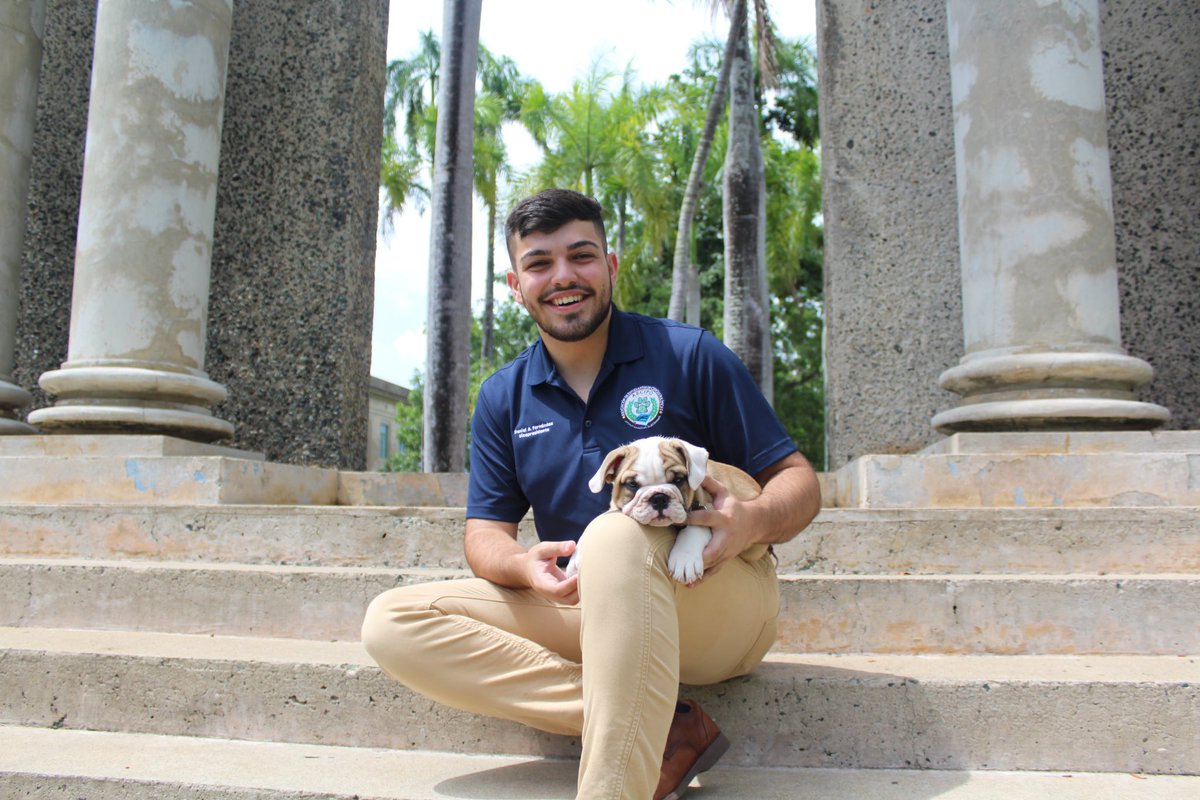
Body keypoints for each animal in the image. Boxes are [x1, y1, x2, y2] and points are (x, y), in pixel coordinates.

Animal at [568, 434, 758, 585]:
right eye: (632, 484)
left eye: (679, 480)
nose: (659, 498)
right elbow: (597, 520)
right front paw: (576, 558)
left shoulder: (709, 509)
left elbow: (695, 528)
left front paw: (684, 559)